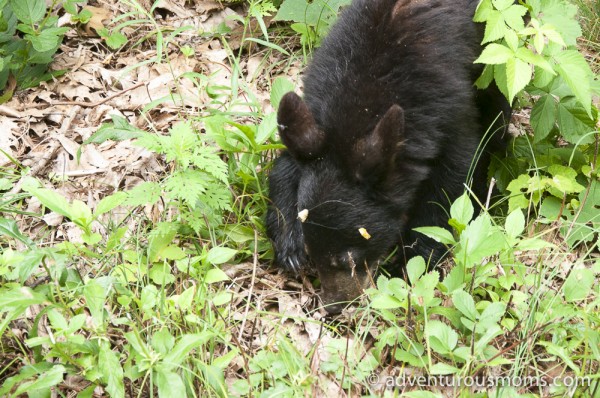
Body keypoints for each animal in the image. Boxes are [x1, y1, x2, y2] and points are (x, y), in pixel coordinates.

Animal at [268, 0, 510, 312]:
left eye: (350, 257)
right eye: (312, 251)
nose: (334, 306)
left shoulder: (449, 112)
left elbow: (453, 180)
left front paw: (410, 262)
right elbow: (285, 164)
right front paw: (289, 243)